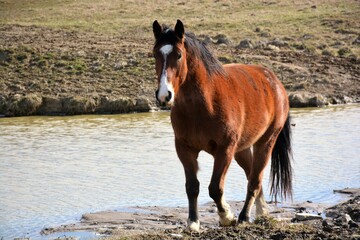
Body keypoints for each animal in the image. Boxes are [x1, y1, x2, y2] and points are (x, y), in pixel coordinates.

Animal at [152, 19, 292, 232]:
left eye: (179, 55)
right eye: (155, 54)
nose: (163, 95)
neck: (204, 104)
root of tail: (273, 80)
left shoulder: (224, 150)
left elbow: (215, 188)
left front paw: (226, 216)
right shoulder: (184, 149)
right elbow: (192, 186)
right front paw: (193, 222)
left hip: (266, 142)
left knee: (255, 180)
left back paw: (244, 216)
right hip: (242, 149)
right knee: (252, 175)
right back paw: (262, 212)